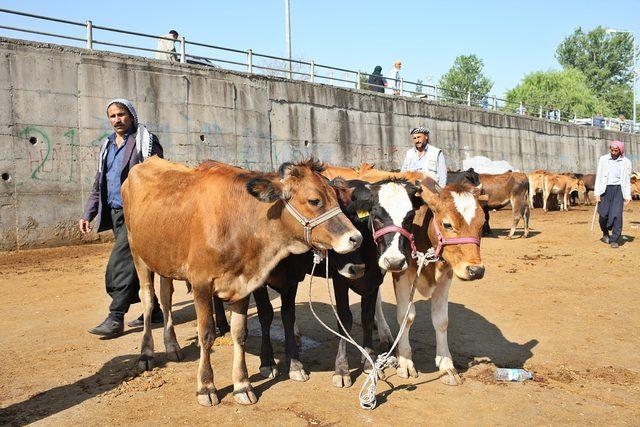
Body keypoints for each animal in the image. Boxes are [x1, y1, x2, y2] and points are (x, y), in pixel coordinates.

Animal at [120, 158, 360, 408]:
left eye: (336, 197)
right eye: (315, 200)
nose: (356, 238)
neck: (238, 223)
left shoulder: (243, 283)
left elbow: (240, 333)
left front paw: (242, 384)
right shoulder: (201, 283)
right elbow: (206, 334)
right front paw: (206, 386)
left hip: (164, 260)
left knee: (166, 299)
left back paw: (172, 346)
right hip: (138, 253)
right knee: (148, 300)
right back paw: (146, 353)